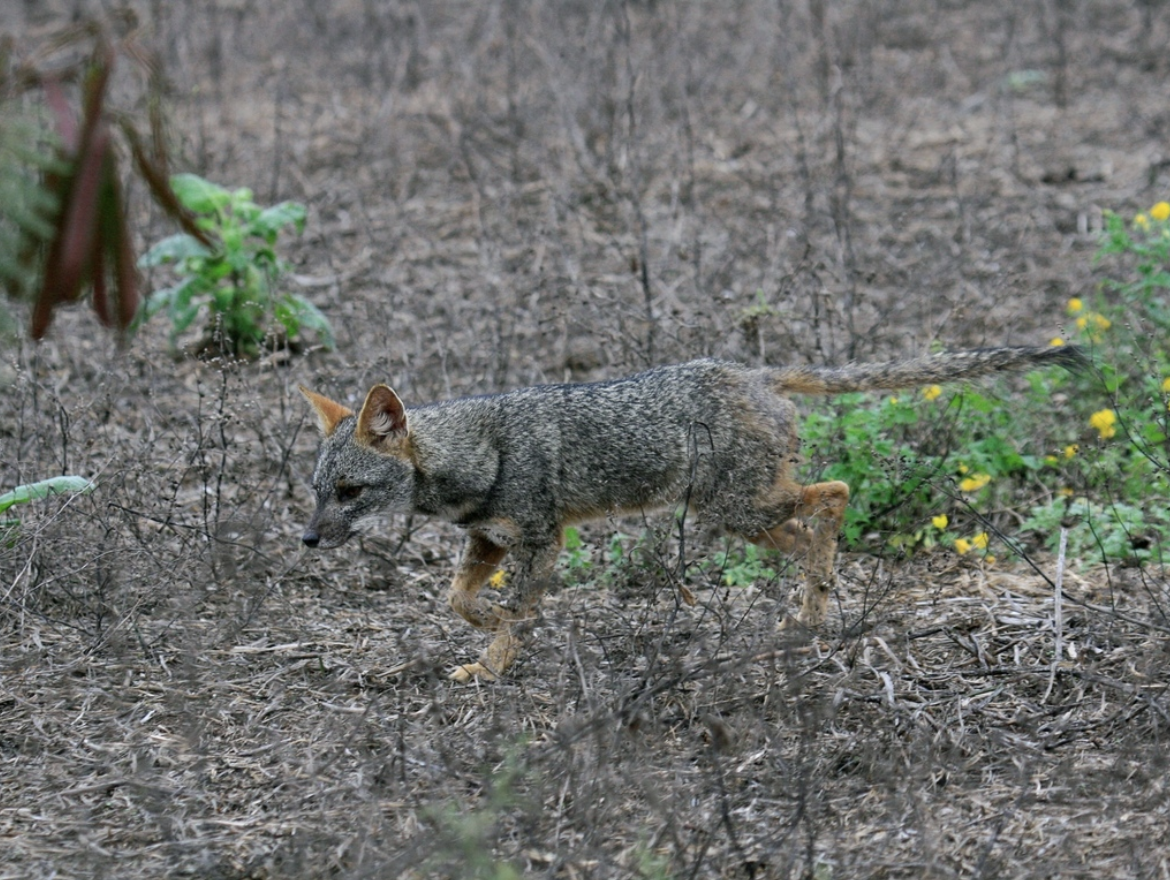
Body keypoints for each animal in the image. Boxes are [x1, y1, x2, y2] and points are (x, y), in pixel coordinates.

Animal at [299, 345, 1084, 682]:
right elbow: (456, 600)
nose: (306, 540)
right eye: (315, 490)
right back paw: (809, 613)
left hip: (737, 506)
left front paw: (496, 659)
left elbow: (513, 610)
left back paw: (817, 603)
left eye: (350, 492)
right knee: (809, 533)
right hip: (746, 516)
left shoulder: (542, 540)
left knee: (835, 493)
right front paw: (491, 628)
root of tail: (749, 370)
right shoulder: (490, 541)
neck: (474, 453)